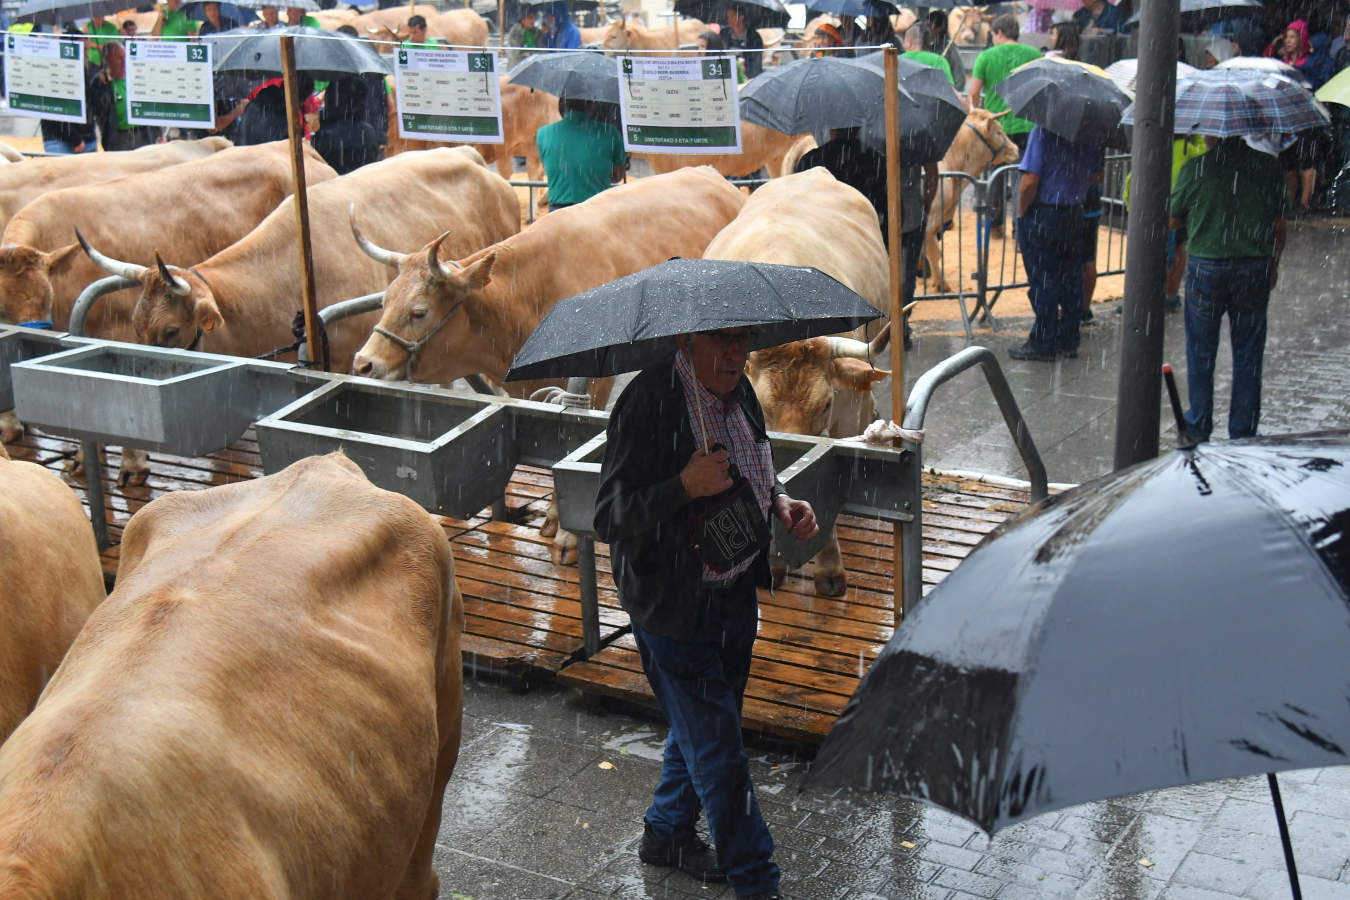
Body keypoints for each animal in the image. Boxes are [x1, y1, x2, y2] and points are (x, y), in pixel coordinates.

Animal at [345, 167, 750, 564]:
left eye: (419, 312)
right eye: (384, 300)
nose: (364, 363)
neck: (528, 296)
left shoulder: (593, 383)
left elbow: (571, 439)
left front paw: (568, 535)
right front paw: (554, 520)